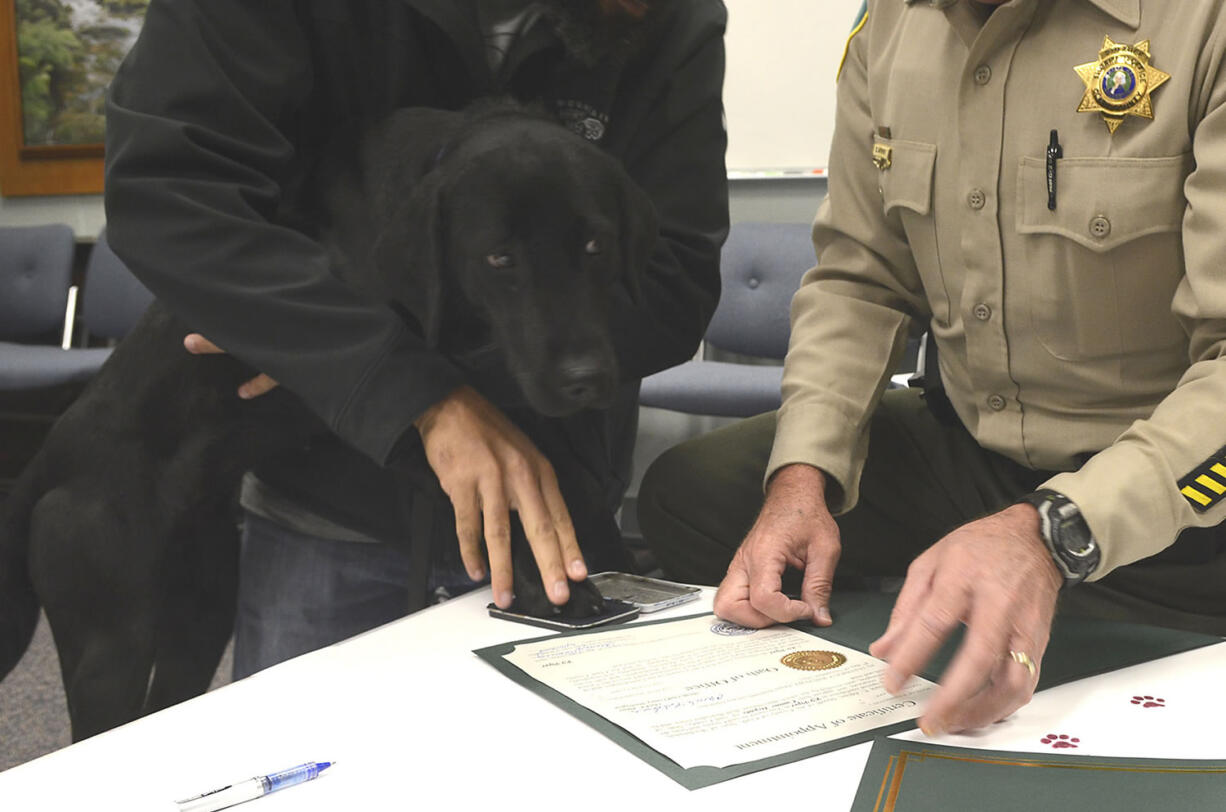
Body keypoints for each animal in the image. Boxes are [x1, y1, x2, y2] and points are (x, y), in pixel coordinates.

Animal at [0, 99, 657, 735]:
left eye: (596, 246)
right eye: (499, 258)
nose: (584, 379)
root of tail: (45, 463)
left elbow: (557, 470)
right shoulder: (408, 414)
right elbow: (516, 481)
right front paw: (561, 593)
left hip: (204, 609)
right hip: (112, 641)